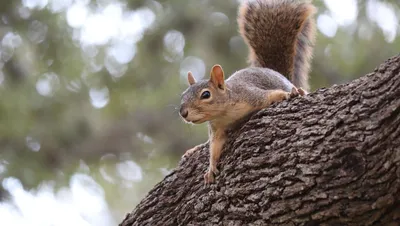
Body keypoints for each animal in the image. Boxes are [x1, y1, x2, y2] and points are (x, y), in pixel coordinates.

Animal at [178, 0, 316, 184]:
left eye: (206, 95)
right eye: (183, 95)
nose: (183, 113)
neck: (225, 112)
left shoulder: (250, 95)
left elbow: (271, 95)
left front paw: (287, 95)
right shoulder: (217, 128)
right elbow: (215, 146)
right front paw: (211, 167)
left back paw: (297, 90)